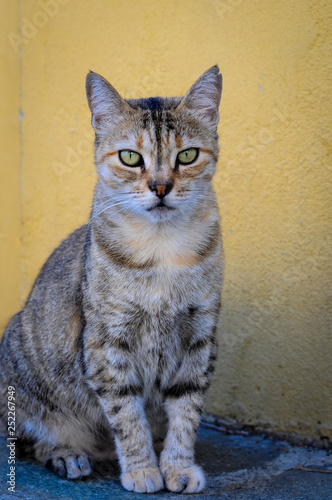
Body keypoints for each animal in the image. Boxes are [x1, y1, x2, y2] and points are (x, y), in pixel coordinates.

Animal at [0, 64, 223, 494]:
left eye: (187, 155)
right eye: (130, 157)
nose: (160, 186)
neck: (162, 251)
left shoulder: (199, 336)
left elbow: (186, 414)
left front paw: (178, 467)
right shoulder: (107, 342)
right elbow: (127, 415)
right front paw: (142, 469)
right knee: (35, 441)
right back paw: (69, 455)